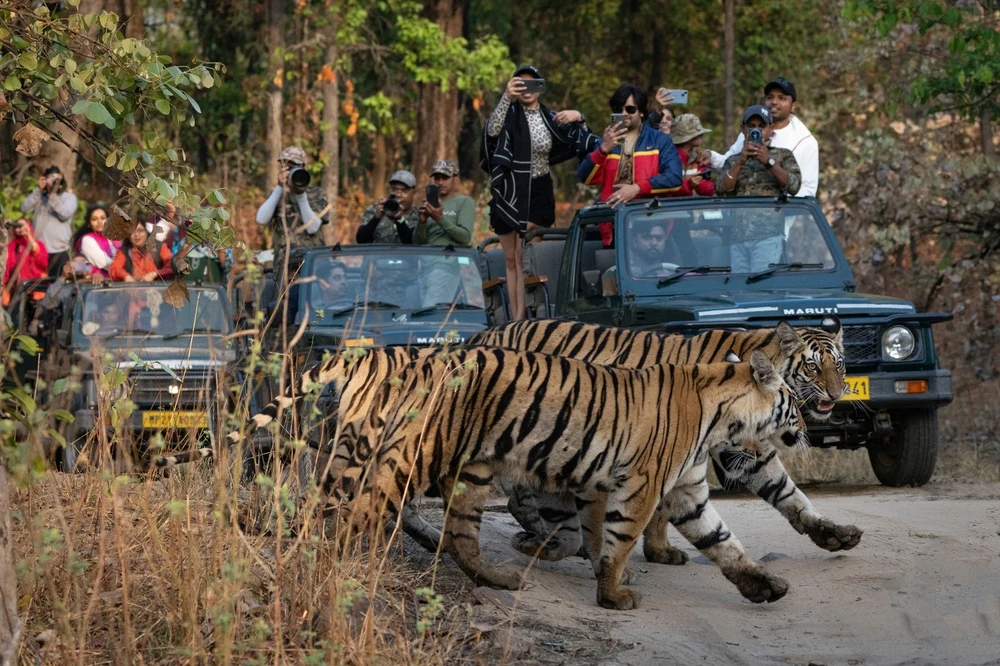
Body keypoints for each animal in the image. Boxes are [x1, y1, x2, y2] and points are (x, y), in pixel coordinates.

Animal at [331, 347, 810, 610]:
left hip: (473, 471)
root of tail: (417, 362)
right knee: (359, 509)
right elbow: (618, 540)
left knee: (461, 537)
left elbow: (724, 543)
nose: (806, 427)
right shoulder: (641, 485)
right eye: (792, 399)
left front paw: (763, 587)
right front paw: (613, 596)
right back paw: (338, 571)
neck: (722, 420)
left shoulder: (686, 491)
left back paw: (499, 580)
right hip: (421, 456)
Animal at [462, 317, 861, 564]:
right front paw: (660, 552)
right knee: (517, 496)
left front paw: (833, 535)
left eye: (839, 365)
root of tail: (478, 337)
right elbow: (662, 507)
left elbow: (791, 495)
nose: (837, 393)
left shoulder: (752, 453)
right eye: (812, 366)